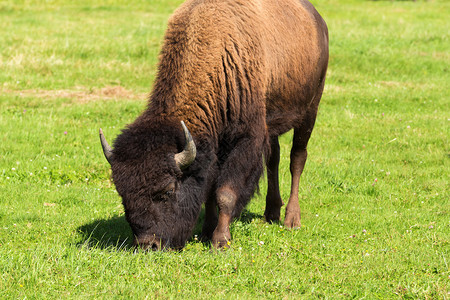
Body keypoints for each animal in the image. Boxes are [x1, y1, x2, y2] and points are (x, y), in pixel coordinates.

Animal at [100, 0, 328, 250]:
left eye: (168, 189)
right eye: (122, 193)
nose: (147, 244)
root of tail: (318, 20)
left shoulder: (245, 140)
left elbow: (225, 193)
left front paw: (220, 240)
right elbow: (209, 189)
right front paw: (206, 231)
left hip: (310, 111)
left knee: (297, 159)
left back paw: (291, 220)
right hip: (274, 123)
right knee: (273, 160)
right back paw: (271, 213)